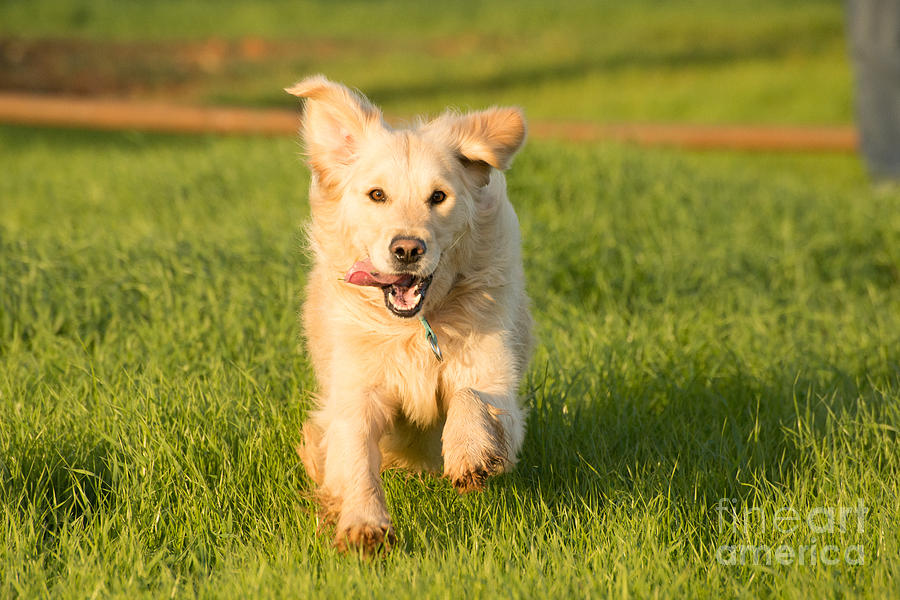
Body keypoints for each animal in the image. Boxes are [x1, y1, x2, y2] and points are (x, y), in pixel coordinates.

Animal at [284, 75, 532, 552]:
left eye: (438, 196)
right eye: (377, 195)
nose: (407, 250)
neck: (416, 328)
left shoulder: (498, 385)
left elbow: (471, 396)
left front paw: (469, 453)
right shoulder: (356, 391)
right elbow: (357, 456)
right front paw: (363, 523)